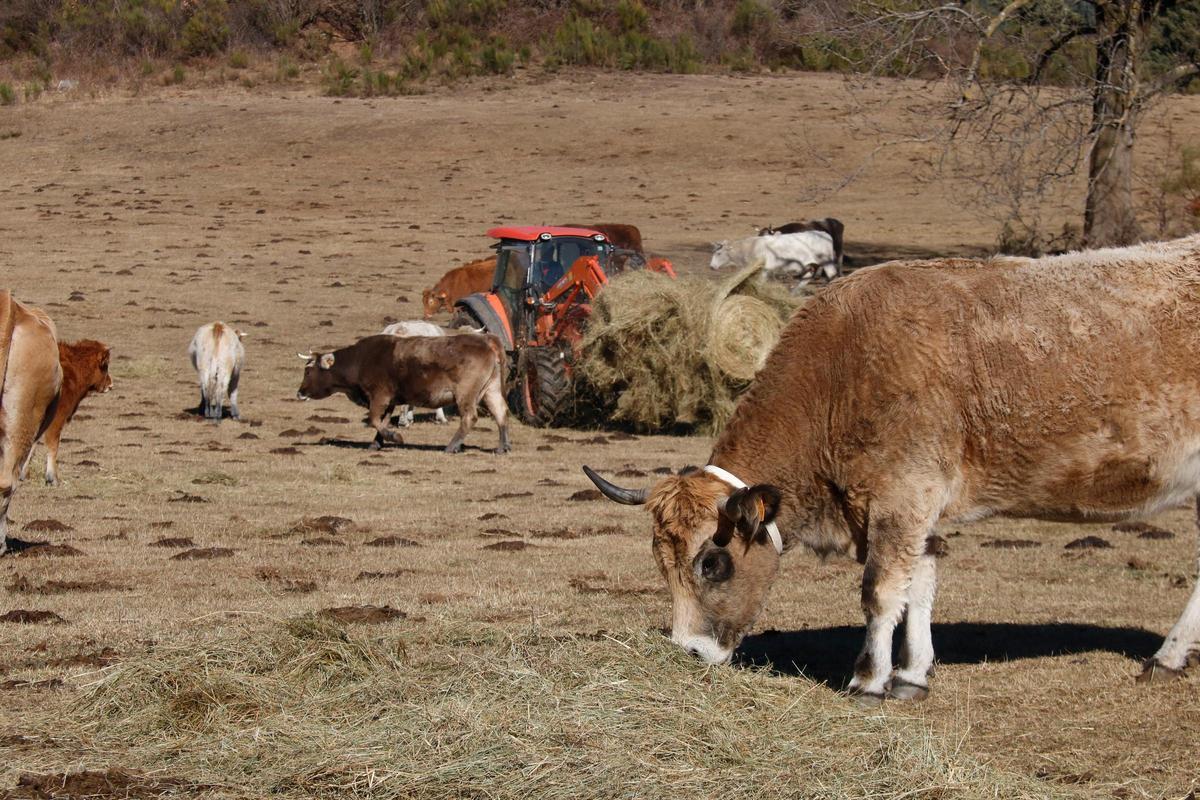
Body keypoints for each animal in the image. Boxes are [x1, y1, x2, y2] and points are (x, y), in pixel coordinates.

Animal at [300, 333, 511, 455]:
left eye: (308, 371)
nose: (300, 392)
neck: (360, 361)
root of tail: (487, 340)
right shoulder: (390, 401)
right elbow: (382, 421)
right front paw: (376, 443)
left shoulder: (379, 397)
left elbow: (374, 419)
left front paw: (394, 437)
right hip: (491, 390)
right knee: (501, 412)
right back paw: (502, 447)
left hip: (465, 394)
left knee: (469, 417)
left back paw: (451, 447)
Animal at [705, 231, 840, 287]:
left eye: (719, 253)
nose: (711, 266)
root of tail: (824, 234)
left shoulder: (765, 268)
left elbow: (760, 282)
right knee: (806, 278)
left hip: (826, 262)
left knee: (832, 275)